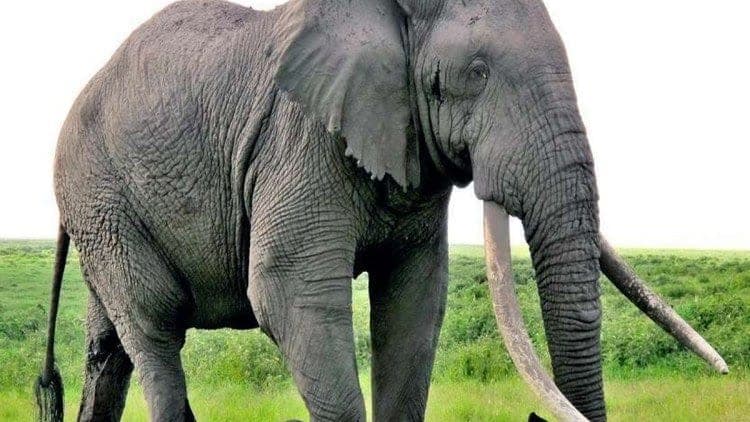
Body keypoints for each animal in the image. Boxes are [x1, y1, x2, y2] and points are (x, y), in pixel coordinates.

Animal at [34, 0, 728, 421]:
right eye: (476, 72)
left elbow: (414, 302)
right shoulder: (302, 138)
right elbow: (292, 295)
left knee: (108, 348)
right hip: (101, 194)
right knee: (153, 326)